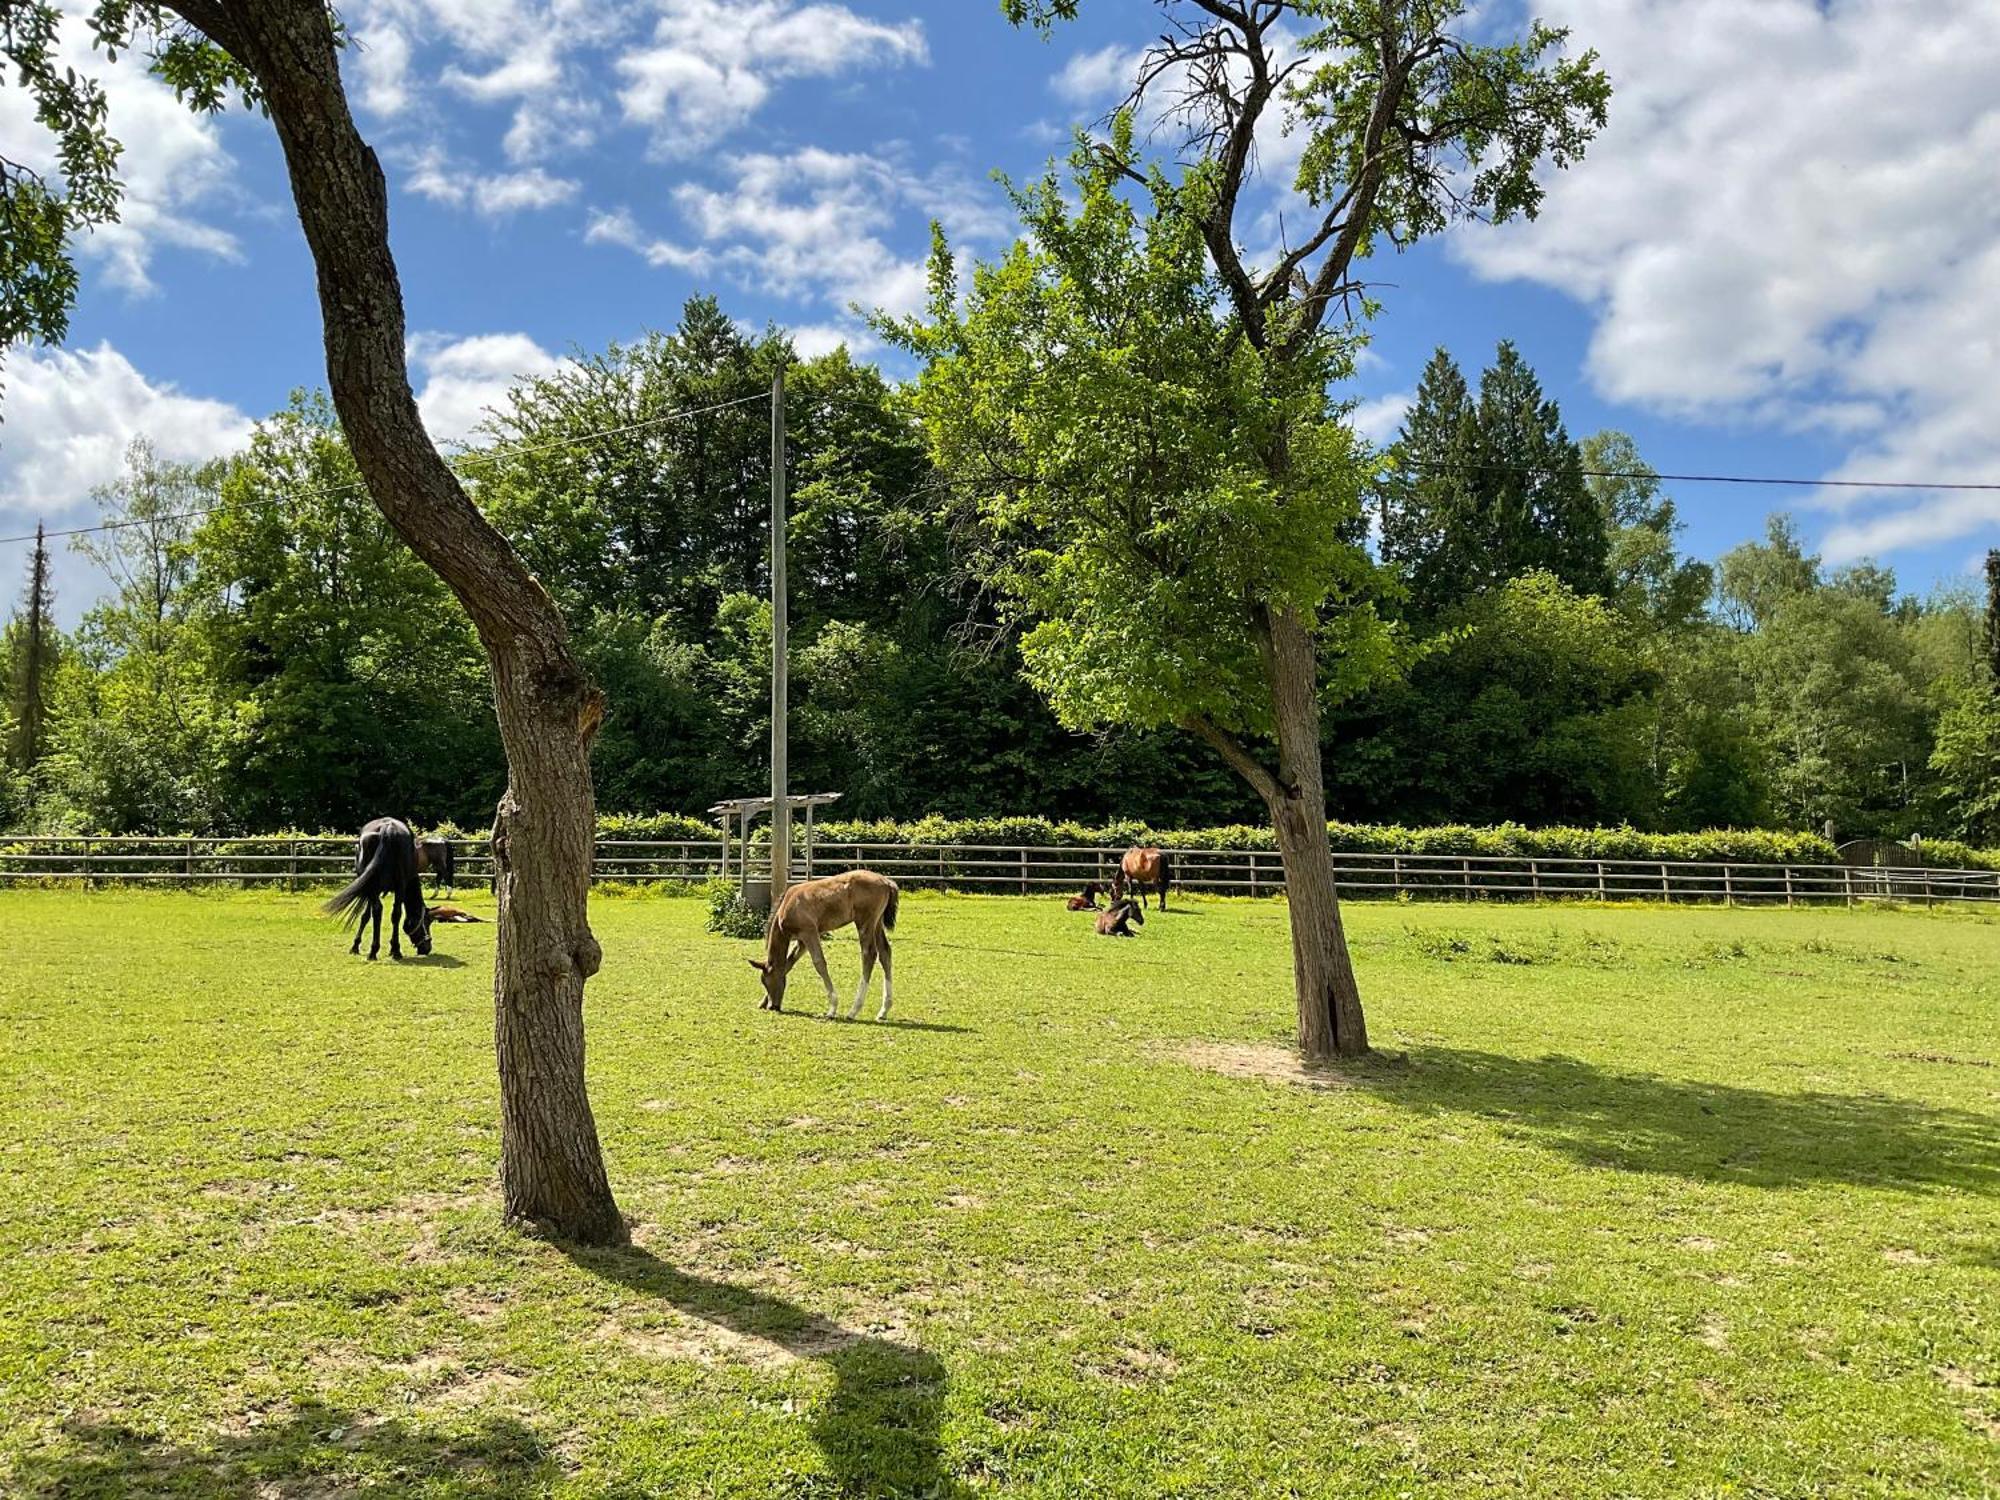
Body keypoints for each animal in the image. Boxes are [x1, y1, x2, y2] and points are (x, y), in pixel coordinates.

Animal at [324, 824, 434, 964]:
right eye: (427, 921)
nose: (427, 948)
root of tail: (388, 829)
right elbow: (369, 915)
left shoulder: (370, 890)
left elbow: (366, 916)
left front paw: (355, 945)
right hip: (397, 886)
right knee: (395, 913)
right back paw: (395, 951)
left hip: (375, 886)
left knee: (378, 910)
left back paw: (374, 951)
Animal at [752, 868, 900, 1024]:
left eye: (766, 981)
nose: (773, 1006)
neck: (787, 905)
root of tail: (887, 882)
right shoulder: (802, 942)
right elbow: (788, 964)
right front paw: (762, 1002)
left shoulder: (809, 932)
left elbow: (819, 963)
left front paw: (832, 1009)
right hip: (877, 923)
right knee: (885, 953)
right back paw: (883, 1010)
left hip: (865, 922)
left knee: (869, 954)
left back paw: (853, 1011)